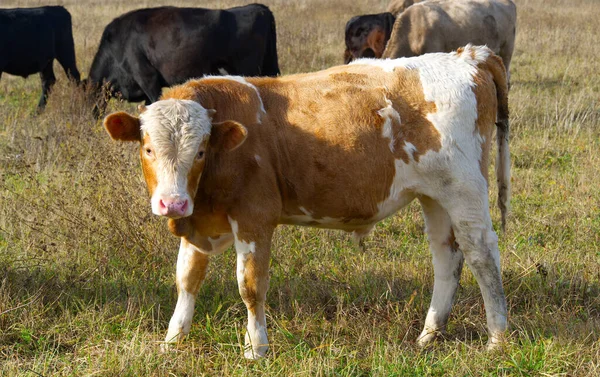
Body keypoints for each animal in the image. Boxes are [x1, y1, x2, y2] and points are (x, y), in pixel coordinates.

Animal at [103, 44, 510, 358]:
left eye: (200, 151)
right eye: (148, 148)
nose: (172, 204)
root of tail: (468, 55)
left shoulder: (255, 218)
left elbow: (250, 286)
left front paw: (256, 349)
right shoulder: (199, 219)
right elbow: (187, 279)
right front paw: (173, 340)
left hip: (465, 189)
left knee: (482, 254)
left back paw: (498, 338)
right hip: (435, 195)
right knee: (446, 256)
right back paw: (429, 335)